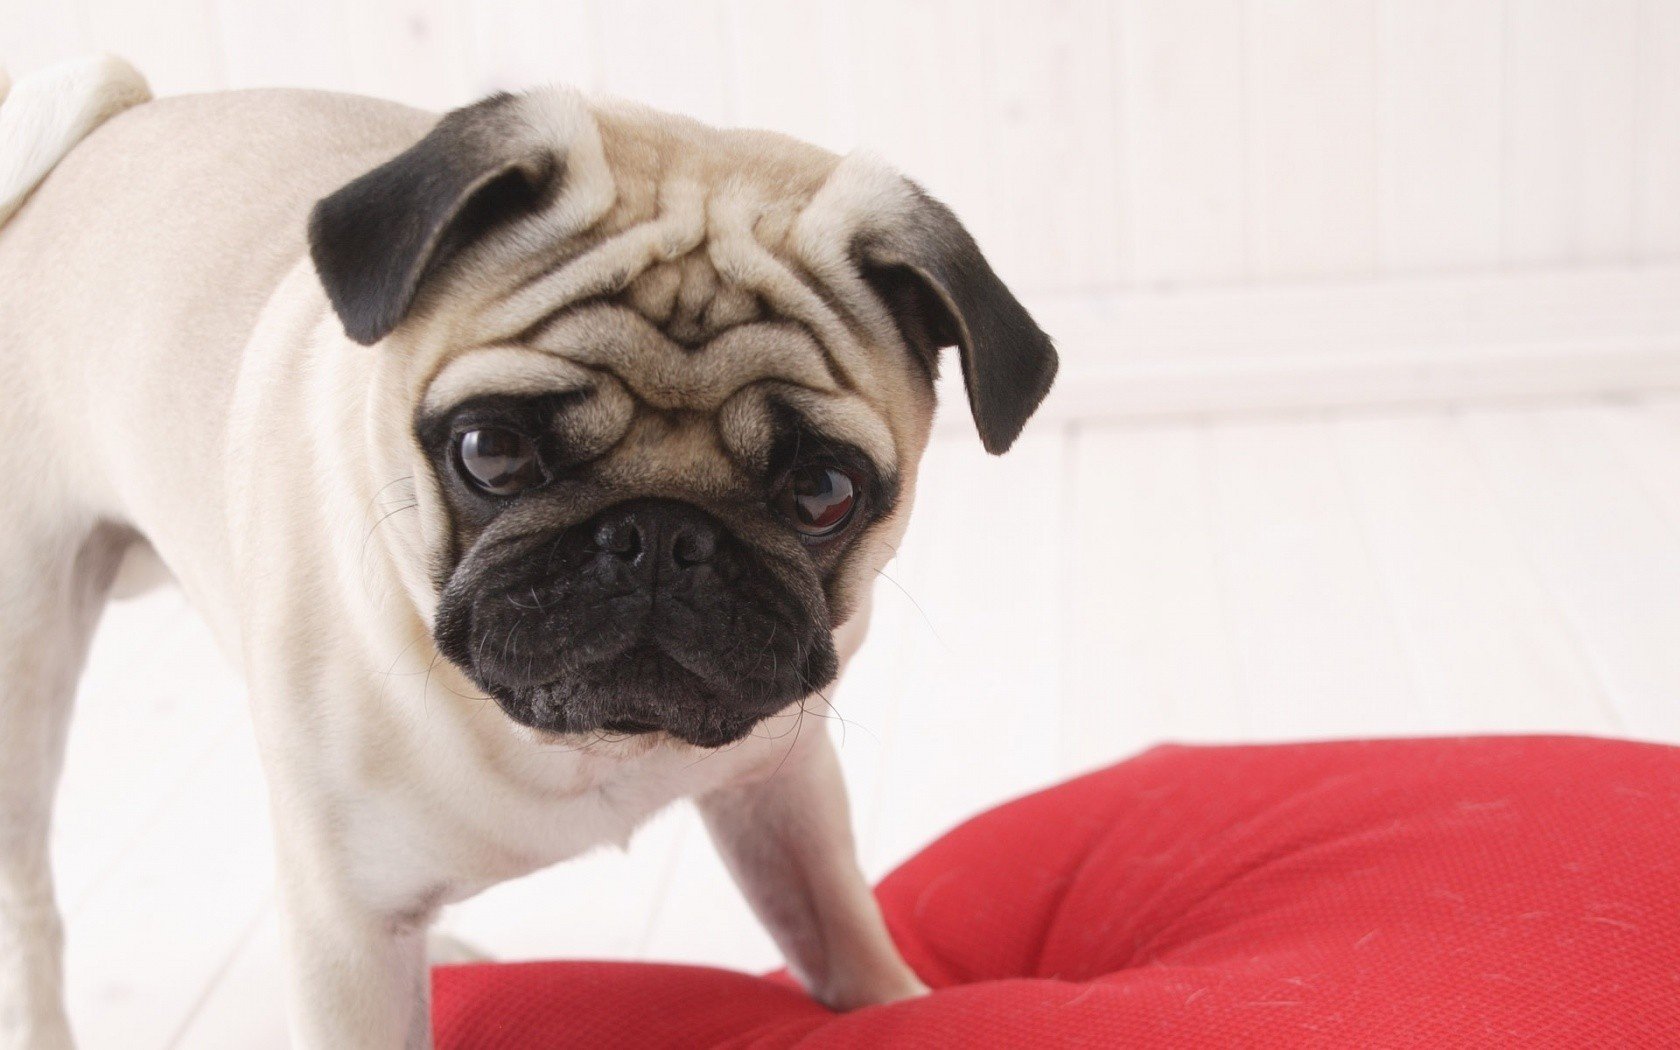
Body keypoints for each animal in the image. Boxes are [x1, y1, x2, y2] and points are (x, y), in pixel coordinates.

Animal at [0, 57, 1048, 1048]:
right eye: (491, 451)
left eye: (824, 492)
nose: (658, 534)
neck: (578, 745)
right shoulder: (347, 937)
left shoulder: (781, 795)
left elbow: (843, 935)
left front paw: (903, 1002)